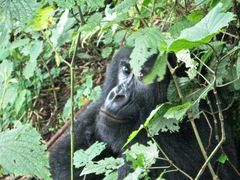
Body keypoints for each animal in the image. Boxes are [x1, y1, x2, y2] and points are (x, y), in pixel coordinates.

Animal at [48, 47, 238, 180]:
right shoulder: (97, 110)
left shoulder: (159, 157)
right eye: (125, 69)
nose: (117, 95)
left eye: (142, 76)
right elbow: (64, 160)